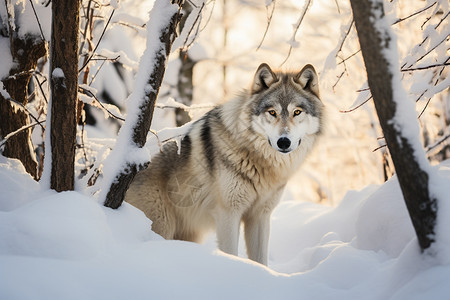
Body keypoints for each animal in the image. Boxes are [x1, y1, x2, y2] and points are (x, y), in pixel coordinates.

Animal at [125, 63, 326, 264]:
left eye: (297, 112)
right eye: (272, 112)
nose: (283, 142)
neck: (258, 159)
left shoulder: (260, 217)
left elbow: (260, 259)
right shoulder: (228, 214)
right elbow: (231, 252)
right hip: (162, 226)